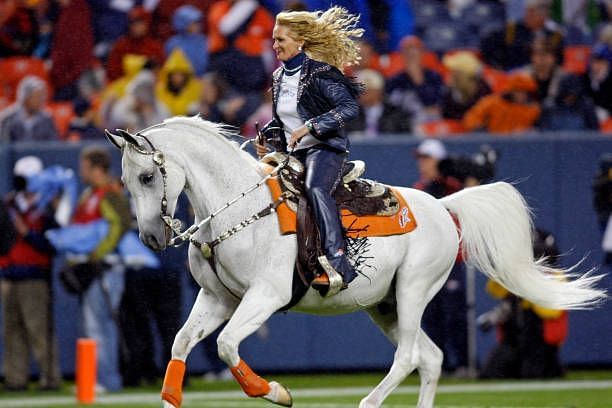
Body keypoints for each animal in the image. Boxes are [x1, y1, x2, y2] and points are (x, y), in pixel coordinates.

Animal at [107, 115, 604, 408]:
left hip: (413, 291)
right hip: (385, 307)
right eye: (125, 180)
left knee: (409, 357)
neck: (238, 211)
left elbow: (228, 346)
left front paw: (277, 392)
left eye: (148, 176)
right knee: (432, 358)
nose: (150, 237)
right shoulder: (217, 299)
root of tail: (443, 206)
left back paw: (367, 402)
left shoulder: (265, 297)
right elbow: (180, 344)